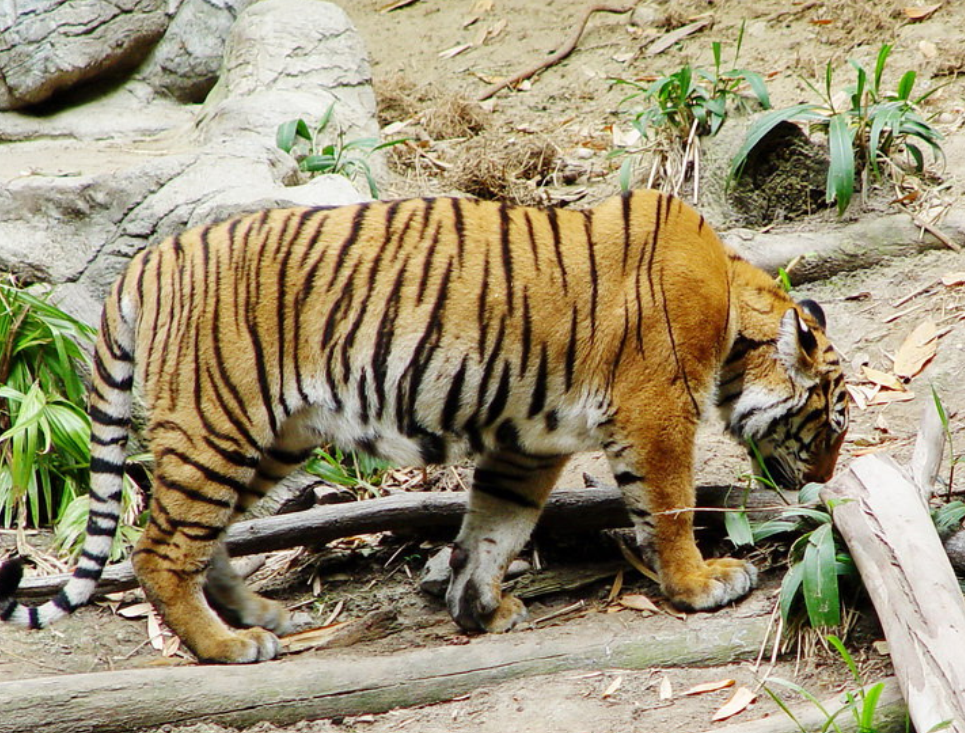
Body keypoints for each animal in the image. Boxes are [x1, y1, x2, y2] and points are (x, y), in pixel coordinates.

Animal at [0, 189, 849, 664]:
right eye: (832, 423)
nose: (826, 481)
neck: (733, 313)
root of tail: (146, 262)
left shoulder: (527, 443)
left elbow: (495, 527)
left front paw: (478, 605)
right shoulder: (656, 412)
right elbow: (668, 506)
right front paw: (701, 584)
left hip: (273, 439)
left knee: (200, 539)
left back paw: (257, 614)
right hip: (221, 428)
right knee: (160, 548)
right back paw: (227, 646)